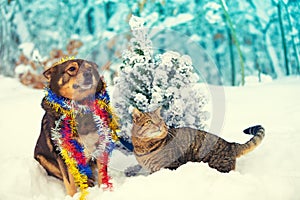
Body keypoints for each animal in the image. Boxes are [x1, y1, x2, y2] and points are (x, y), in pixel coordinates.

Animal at [34, 59, 109, 197]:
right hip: (42, 157)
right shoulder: (64, 153)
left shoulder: (101, 144)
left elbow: (102, 174)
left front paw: (104, 191)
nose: (88, 74)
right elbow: (70, 183)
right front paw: (73, 197)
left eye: (90, 68)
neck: (80, 108)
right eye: (72, 69)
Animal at [131, 107, 264, 173]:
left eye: (160, 120)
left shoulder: (171, 165)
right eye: (149, 121)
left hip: (219, 166)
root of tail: (230, 144)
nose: (159, 125)